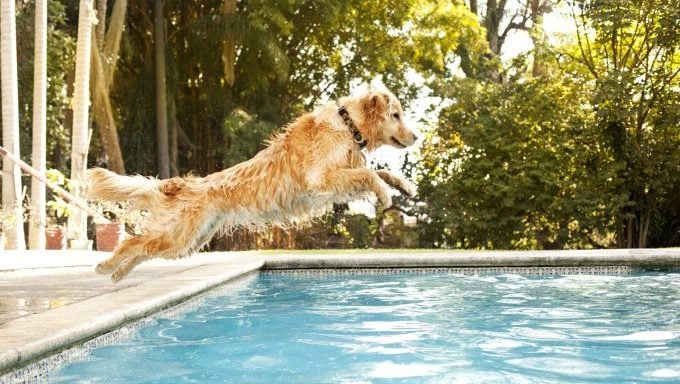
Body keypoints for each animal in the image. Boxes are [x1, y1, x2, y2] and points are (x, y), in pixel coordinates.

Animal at [87, 90, 418, 282]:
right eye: (396, 115)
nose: (416, 136)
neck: (348, 125)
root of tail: (184, 184)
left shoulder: (341, 176)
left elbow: (377, 171)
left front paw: (404, 186)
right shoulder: (321, 179)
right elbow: (370, 174)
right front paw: (385, 194)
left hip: (186, 242)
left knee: (142, 249)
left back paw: (118, 274)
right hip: (177, 236)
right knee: (131, 243)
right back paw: (106, 267)